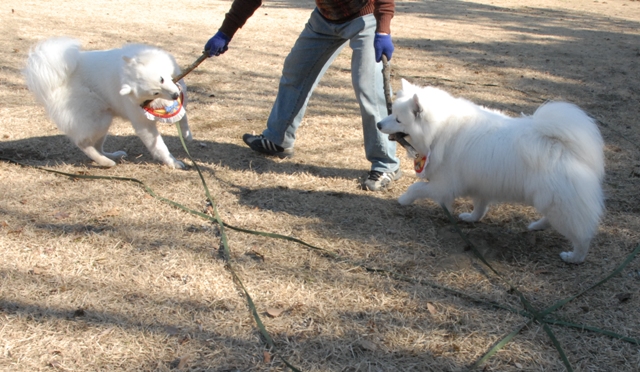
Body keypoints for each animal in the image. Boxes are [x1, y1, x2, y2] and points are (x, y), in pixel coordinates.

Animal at [23, 36, 192, 169]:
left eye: (162, 79)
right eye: (155, 93)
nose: (175, 95)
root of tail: (57, 82)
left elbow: (182, 117)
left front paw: (186, 134)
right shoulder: (143, 124)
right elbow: (159, 147)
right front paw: (172, 162)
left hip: (104, 121)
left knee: (97, 145)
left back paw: (112, 155)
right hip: (97, 121)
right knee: (83, 143)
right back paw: (105, 162)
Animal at [380, 79, 604, 264]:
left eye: (398, 119)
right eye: (392, 113)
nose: (379, 124)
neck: (438, 130)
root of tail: (562, 145)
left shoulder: (444, 186)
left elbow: (417, 188)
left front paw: (404, 199)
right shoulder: (480, 184)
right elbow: (480, 206)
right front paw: (472, 218)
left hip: (560, 202)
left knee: (582, 235)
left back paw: (574, 257)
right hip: (551, 201)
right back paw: (537, 226)